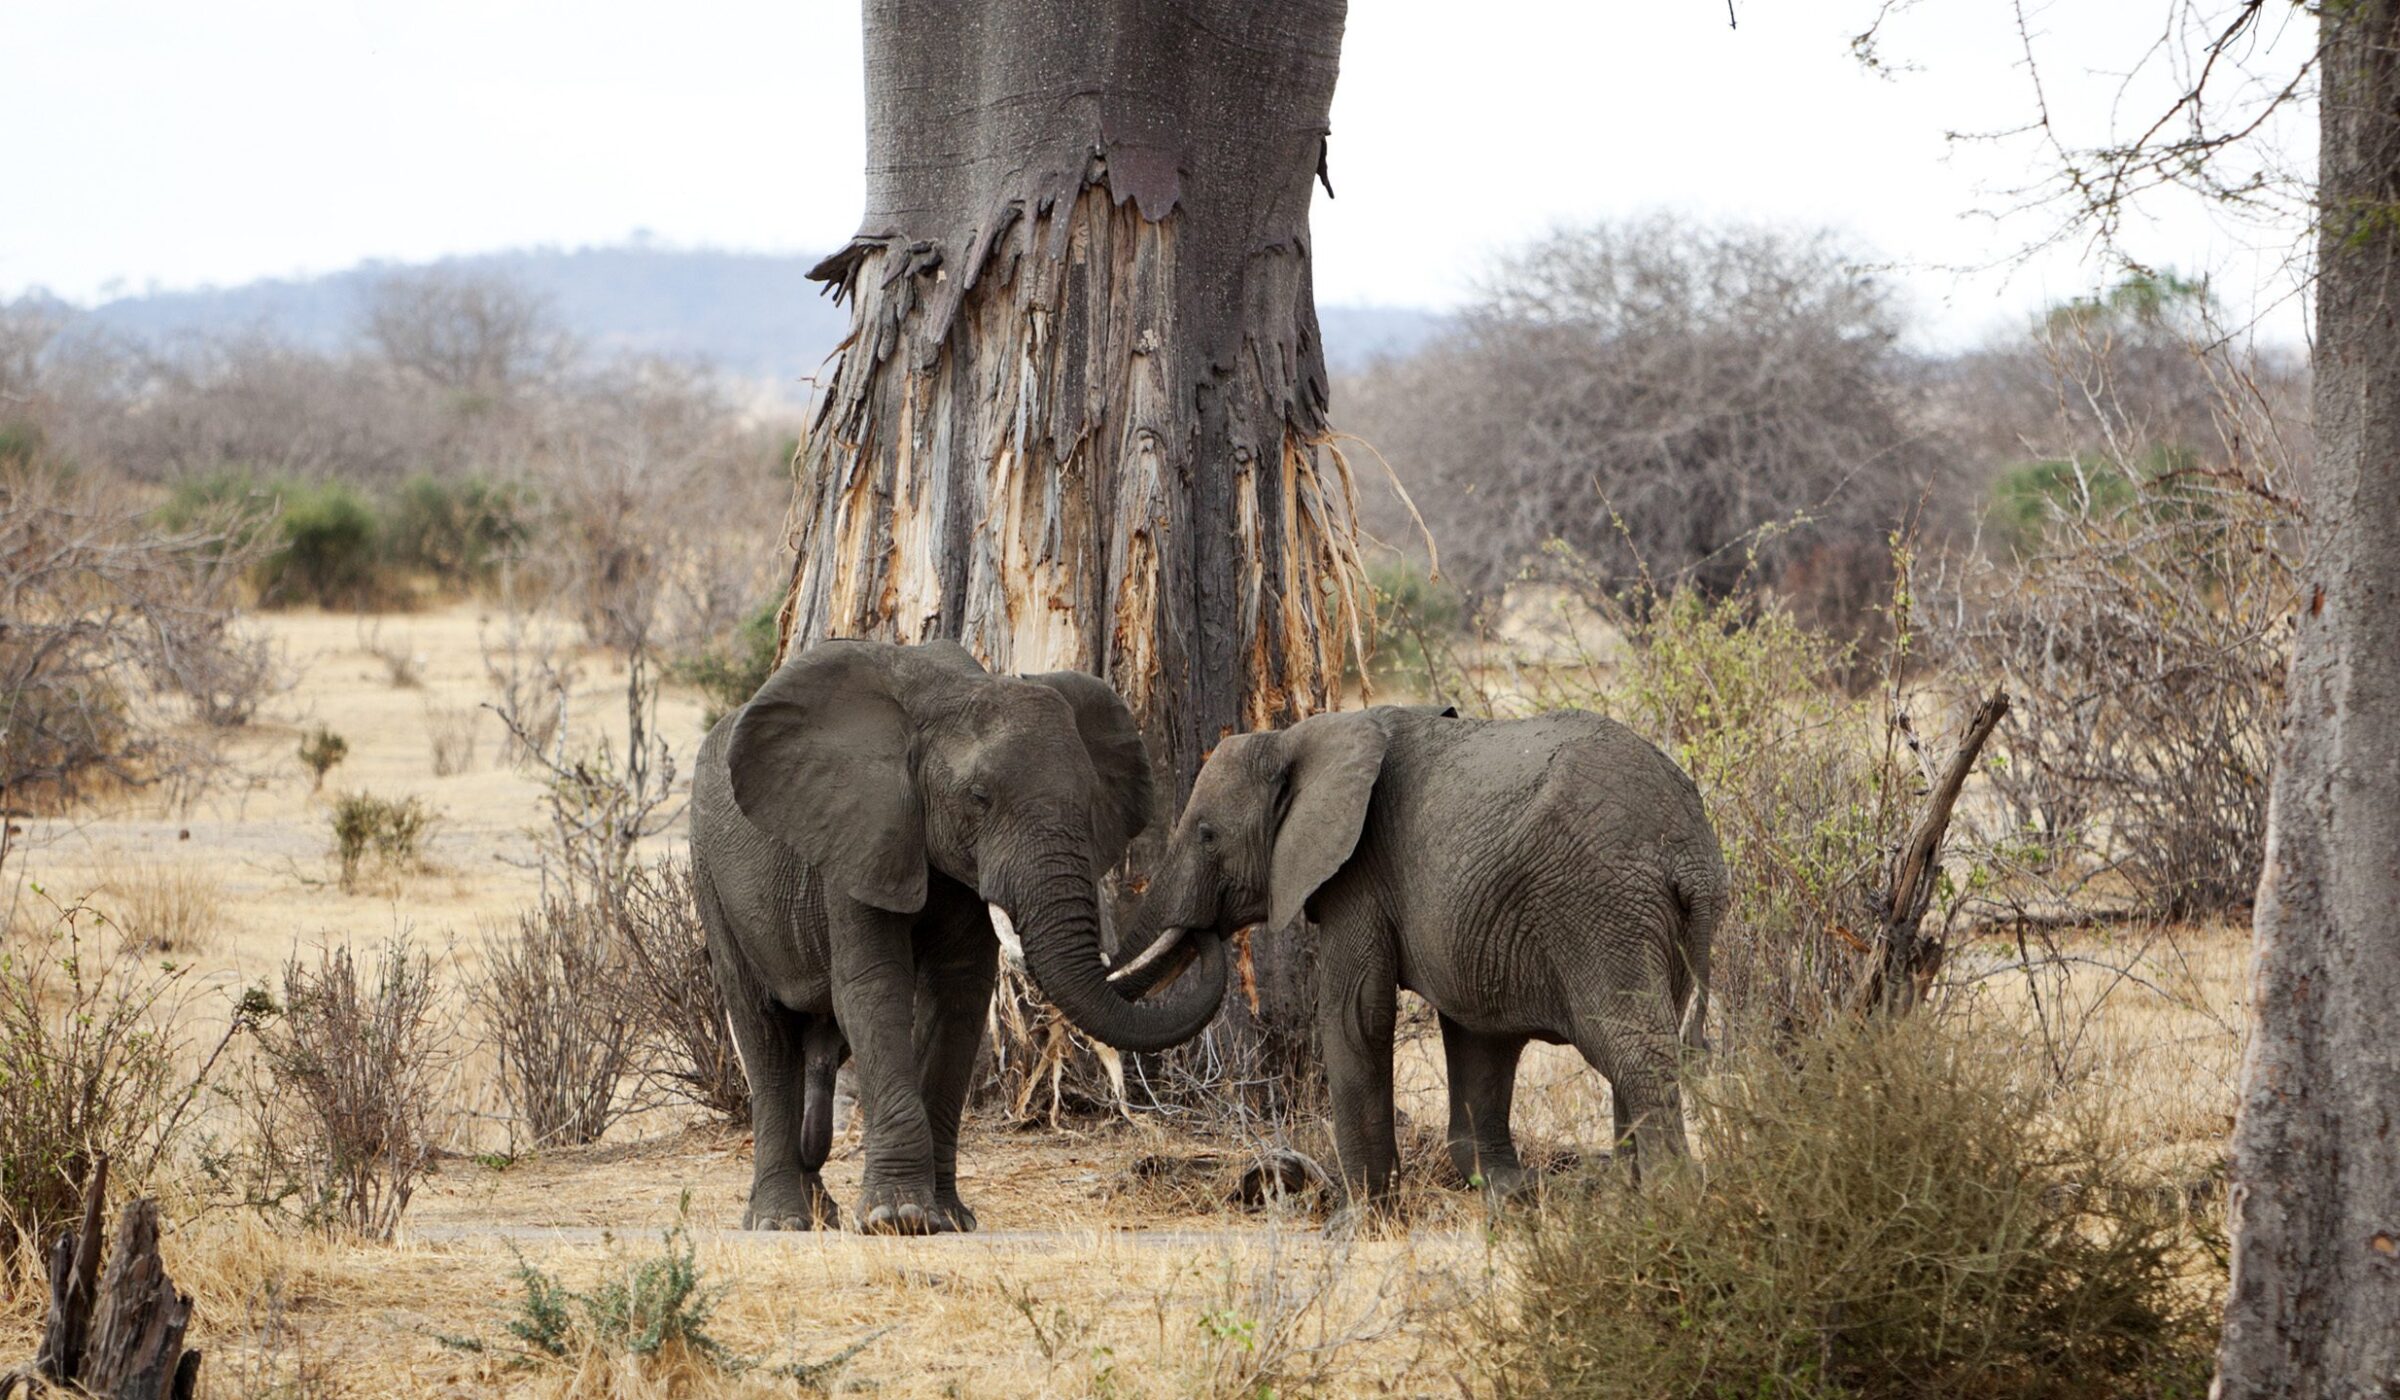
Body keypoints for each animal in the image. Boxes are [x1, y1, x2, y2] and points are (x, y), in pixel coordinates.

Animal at [689, 639, 1228, 1234]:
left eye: (1090, 801)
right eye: (978, 797)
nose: (1205, 919)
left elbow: (957, 997)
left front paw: (947, 1217)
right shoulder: (863, 832)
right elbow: (875, 990)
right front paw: (898, 1218)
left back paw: (818, 1213)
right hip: (710, 872)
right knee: (762, 1029)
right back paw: (781, 1222)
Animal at [1121, 703, 1726, 1205]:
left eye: (1206, 835)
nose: (1203, 931)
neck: (1299, 737)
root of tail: (1692, 856)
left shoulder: (1358, 874)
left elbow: (1355, 1016)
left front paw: (1357, 1220)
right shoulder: (1476, 922)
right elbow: (1478, 1034)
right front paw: (1510, 1191)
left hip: (1599, 908)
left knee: (1635, 1052)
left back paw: (1669, 1203)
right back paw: (1626, 1198)